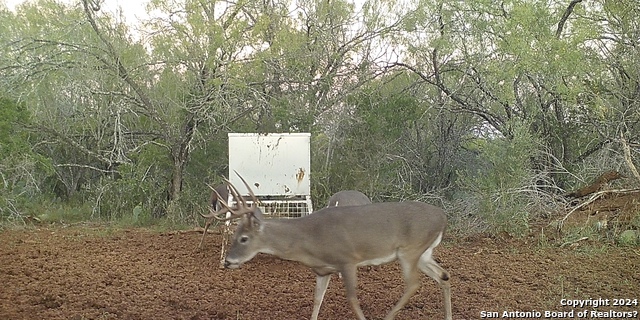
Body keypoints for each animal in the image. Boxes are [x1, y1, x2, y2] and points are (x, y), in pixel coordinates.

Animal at [202, 175, 452, 320]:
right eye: (234, 235)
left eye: (243, 238)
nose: (228, 261)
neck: (308, 240)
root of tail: (443, 217)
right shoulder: (323, 270)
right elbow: (317, 301)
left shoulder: (347, 259)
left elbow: (352, 299)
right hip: (424, 253)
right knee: (444, 276)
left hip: (410, 250)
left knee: (413, 284)